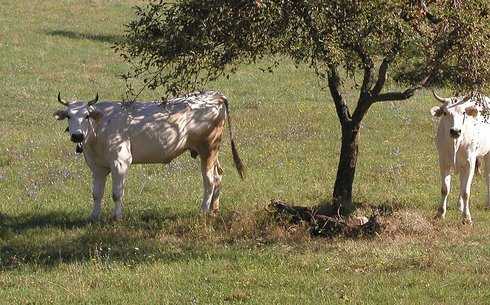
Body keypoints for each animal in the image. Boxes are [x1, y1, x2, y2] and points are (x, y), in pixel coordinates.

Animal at [53, 90, 245, 221]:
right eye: (68, 116)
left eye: (86, 116)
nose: (77, 136)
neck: (99, 130)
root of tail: (214, 95)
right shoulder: (97, 167)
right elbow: (96, 194)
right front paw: (94, 217)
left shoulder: (120, 162)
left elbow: (117, 193)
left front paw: (117, 218)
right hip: (212, 151)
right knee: (218, 175)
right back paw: (214, 210)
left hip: (208, 149)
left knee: (210, 181)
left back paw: (203, 211)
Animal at [428, 91, 490, 223]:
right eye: (445, 112)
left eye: (463, 112)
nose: (455, 131)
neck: (455, 144)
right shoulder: (443, 162)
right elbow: (445, 189)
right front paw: (440, 213)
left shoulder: (470, 163)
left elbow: (466, 192)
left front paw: (466, 217)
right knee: (462, 181)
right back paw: (460, 205)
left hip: (487, 154)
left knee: (487, 176)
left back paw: (488, 204)